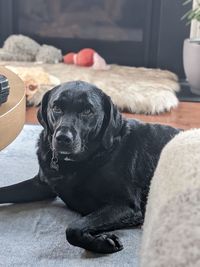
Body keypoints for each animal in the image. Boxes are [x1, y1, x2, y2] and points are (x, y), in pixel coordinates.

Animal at [0, 81, 180, 253]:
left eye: (87, 111)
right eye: (56, 108)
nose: (63, 138)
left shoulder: (126, 205)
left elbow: (72, 228)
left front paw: (102, 242)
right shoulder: (41, 185)